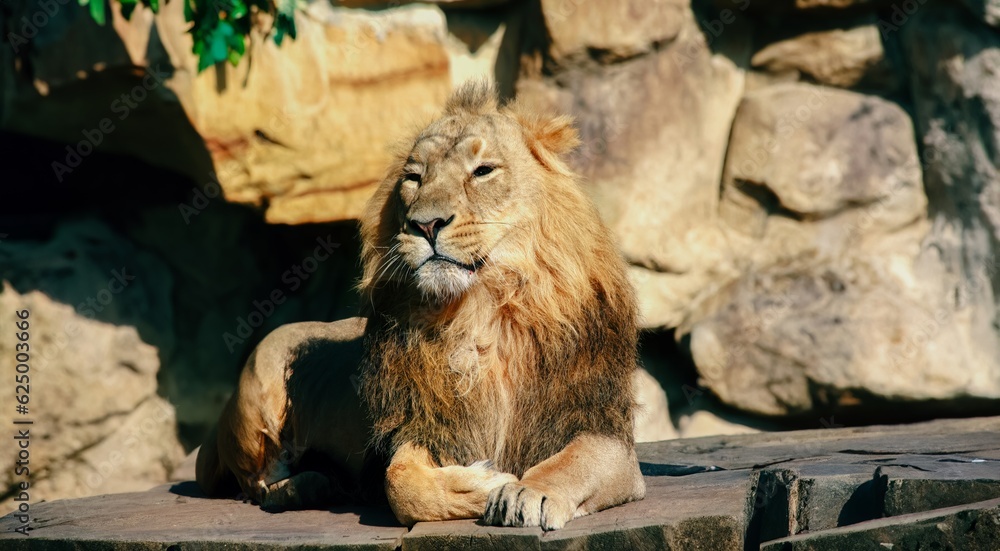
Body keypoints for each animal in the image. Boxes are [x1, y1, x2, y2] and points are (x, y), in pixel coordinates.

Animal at [196, 82, 646, 530]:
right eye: (414, 179)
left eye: (483, 171)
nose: (426, 224)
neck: (482, 314)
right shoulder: (423, 425)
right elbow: (401, 483)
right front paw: (488, 482)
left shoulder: (605, 432)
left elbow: (570, 464)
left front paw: (526, 490)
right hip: (261, 373)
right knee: (259, 484)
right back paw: (310, 485)